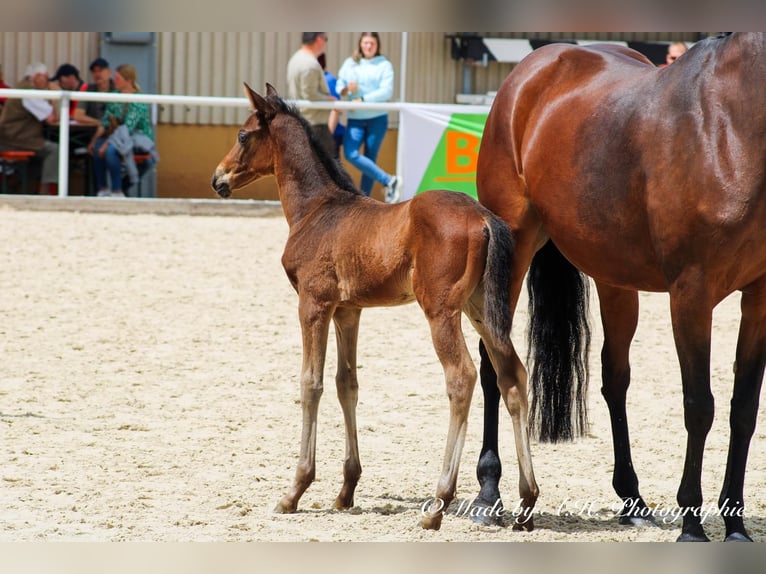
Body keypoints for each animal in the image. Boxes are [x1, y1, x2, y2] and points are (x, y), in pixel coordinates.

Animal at [210, 84, 540, 532]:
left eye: (243, 135)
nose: (218, 178)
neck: (317, 211)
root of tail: (483, 217)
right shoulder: (348, 311)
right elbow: (346, 383)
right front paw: (346, 490)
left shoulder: (313, 304)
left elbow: (310, 383)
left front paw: (294, 490)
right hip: (482, 312)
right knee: (513, 378)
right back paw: (527, 502)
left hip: (441, 310)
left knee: (462, 378)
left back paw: (438, 503)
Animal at [476, 32, 764, 544]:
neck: (732, 126)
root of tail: (536, 65)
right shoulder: (692, 294)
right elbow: (699, 406)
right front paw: (692, 524)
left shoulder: (760, 297)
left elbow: (744, 409)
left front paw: (734, 524)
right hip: (512, 249)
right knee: (494, 361)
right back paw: (488, 492)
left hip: (614, 279)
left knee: (615, 380)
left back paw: (633, 500)